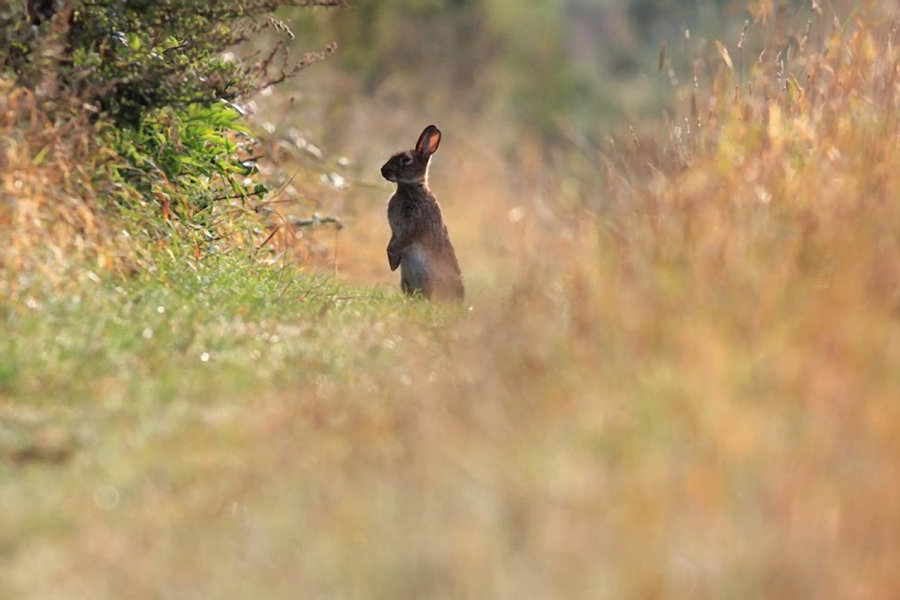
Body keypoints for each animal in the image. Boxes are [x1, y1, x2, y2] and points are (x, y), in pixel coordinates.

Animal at [380, 123, 464, 300]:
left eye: (406, 160)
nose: (382, 170)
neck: (410, 187)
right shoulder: (396, 231)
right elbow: (392, 241)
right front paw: (393, 263)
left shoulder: (413, 227)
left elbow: (401, 241)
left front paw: (393, 260)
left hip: (429, 279)